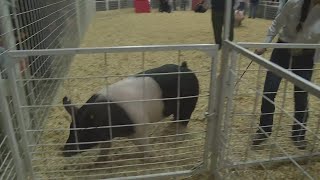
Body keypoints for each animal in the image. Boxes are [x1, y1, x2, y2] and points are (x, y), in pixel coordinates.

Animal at [61, 62, 199, 160]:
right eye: (71, 129)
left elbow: (143, 144)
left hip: (189, 103)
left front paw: (153, 158)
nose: (64, 152)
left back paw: (177, 138)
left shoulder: (139, 126)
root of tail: (185, 68)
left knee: (184, 120)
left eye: (83, 132)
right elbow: (105, 147)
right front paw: (99, 162)